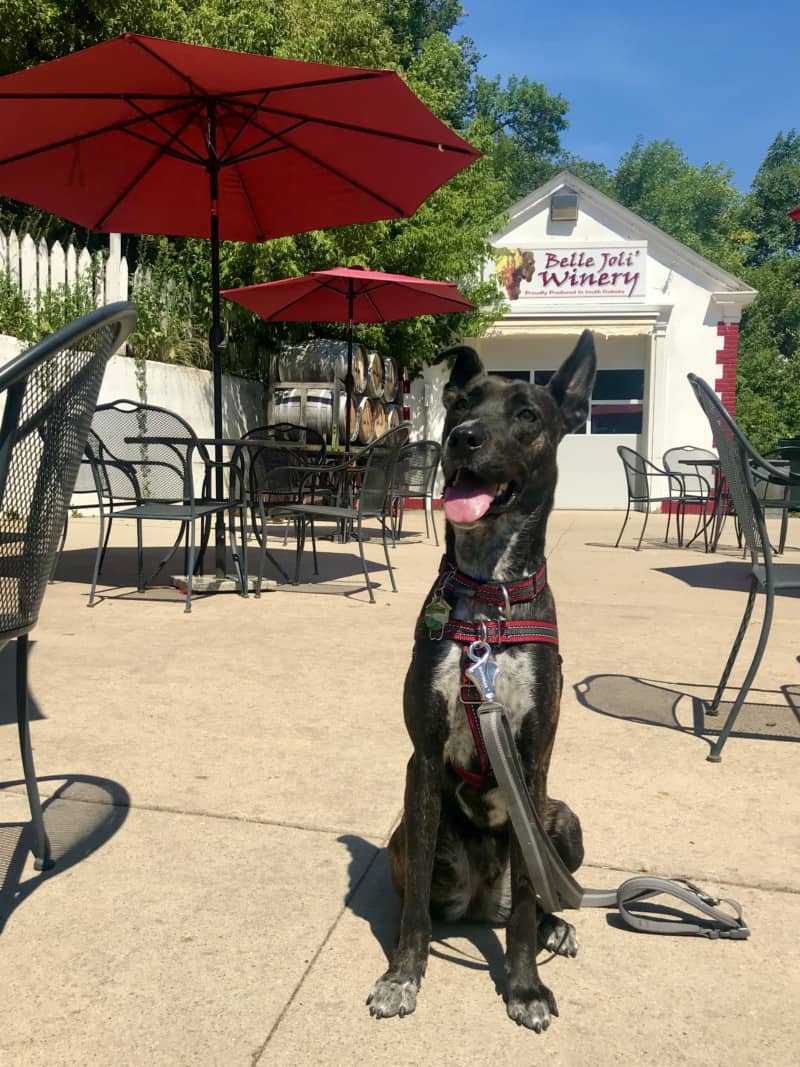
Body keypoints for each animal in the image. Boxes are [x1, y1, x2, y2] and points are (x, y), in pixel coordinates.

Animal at [369, 328, 597, 1028]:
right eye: (463, 402)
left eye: (527, 413)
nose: (464, 436)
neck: (490, 597)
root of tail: (476, 907)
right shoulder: (421, 759)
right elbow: (415, 903)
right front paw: (403, 975)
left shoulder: (534, 762)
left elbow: (526, 899)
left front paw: (524, 986)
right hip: (406, 832)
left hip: (561, 820)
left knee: (539, 895)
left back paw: (557, 927)